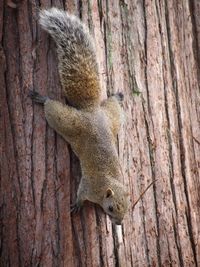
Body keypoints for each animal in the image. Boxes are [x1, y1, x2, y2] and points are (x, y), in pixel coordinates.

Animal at [29, 7, 130, 225]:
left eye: (129, 206)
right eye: (111, 208)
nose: (119, 223)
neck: (108, 185)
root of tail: (91, 110)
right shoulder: (88, 187)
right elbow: (80, 195)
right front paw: (77, 204)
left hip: (112, 118)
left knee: (114, 107)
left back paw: (118, 96)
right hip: (68, 122)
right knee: (53, 109)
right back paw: (42, 98)